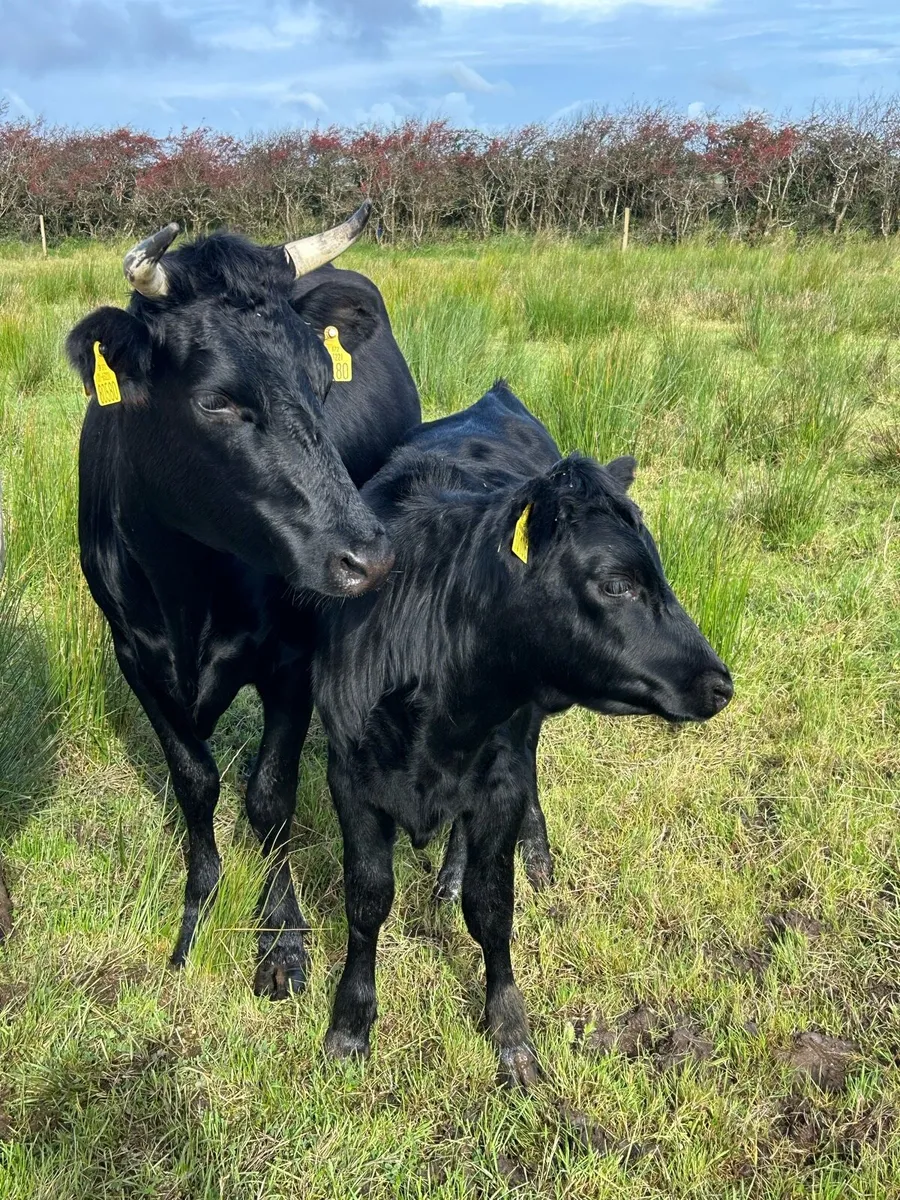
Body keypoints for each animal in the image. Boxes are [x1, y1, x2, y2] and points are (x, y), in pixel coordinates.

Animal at [66, 204, 420, 998]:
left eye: (323, 383)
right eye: (216, 400)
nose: (370, 556)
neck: (188, 589)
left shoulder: (291, 660)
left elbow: (268, 795)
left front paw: (281, 938)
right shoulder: (136, 658)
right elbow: (196, 783)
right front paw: (196, 913)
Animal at [313, 381, 733, 1087]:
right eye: (616, 583)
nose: (719, 682)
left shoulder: (500, 775)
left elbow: (492, 905)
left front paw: (509, 1029)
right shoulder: (350, 776)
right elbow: (367, 899)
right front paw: (350, 1023)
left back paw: (529, 853)